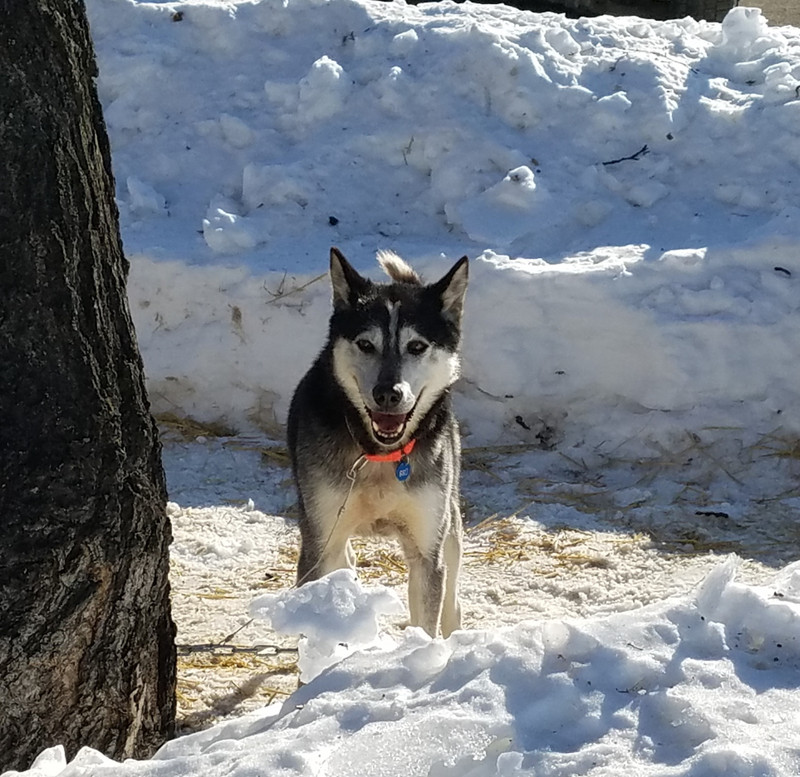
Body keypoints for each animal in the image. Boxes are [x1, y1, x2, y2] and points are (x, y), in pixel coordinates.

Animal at [288, 247, 468, 636]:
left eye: (416, 346)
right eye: (365, 344)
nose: (388, 393)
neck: (379, 455)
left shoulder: (426, 547)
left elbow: (428, 614)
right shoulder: (320, 539)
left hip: (449, 519)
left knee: (452, 583)